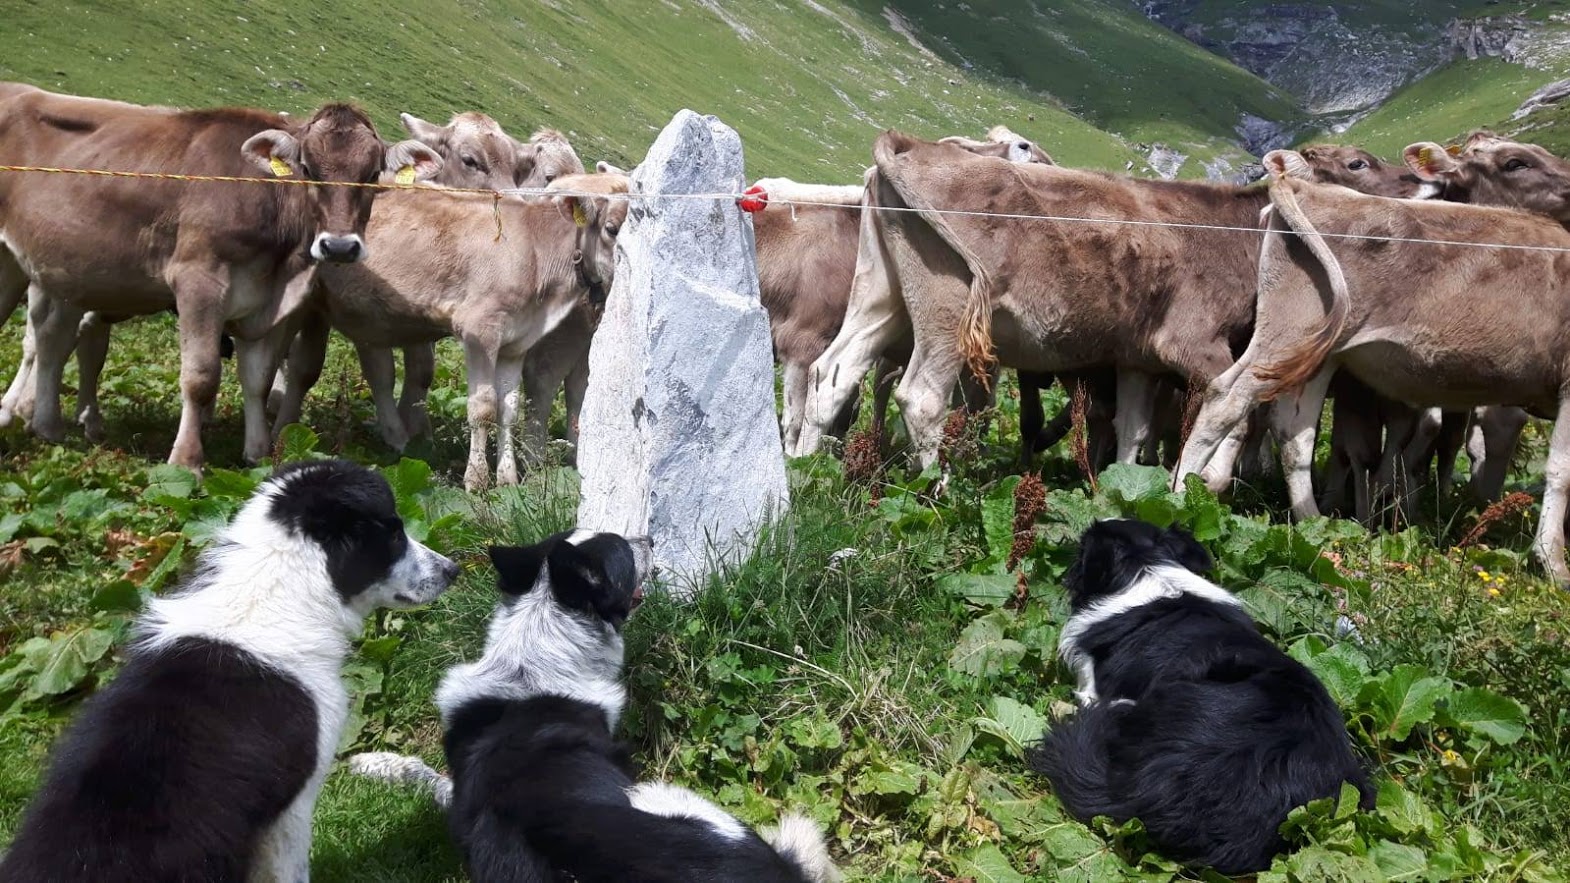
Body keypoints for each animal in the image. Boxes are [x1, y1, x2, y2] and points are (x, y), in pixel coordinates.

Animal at [0, 83, 439, 468]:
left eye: (372, 173)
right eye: (308, 168)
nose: (340, 247)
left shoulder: (268, 301)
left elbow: (259, 378)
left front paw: (258, 454)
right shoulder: (198, 281)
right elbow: (201, 376)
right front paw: (187, 460)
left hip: (53, 270)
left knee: (53, 337)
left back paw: (48, 425)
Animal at [351, 524, 841, 873]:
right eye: (624, 549)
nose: (649, 537)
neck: (533, 657)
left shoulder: (461, 796)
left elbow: (431, 778)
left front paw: (375, 764)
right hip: (665, 796)